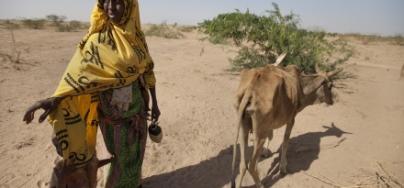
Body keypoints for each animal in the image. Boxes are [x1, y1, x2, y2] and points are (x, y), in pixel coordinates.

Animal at [230, 54, 338, 188]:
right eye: (330, 86)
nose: (331, 101)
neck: (301, 87)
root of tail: (250, 89)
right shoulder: (291, 119)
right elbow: (285, 141)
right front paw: (283, 168)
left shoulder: (270, 124)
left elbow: (271, 136)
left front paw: (266, 153)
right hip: (259, 134)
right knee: (252, 165)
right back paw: (261, 184)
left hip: (243, 128)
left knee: (243, 164)